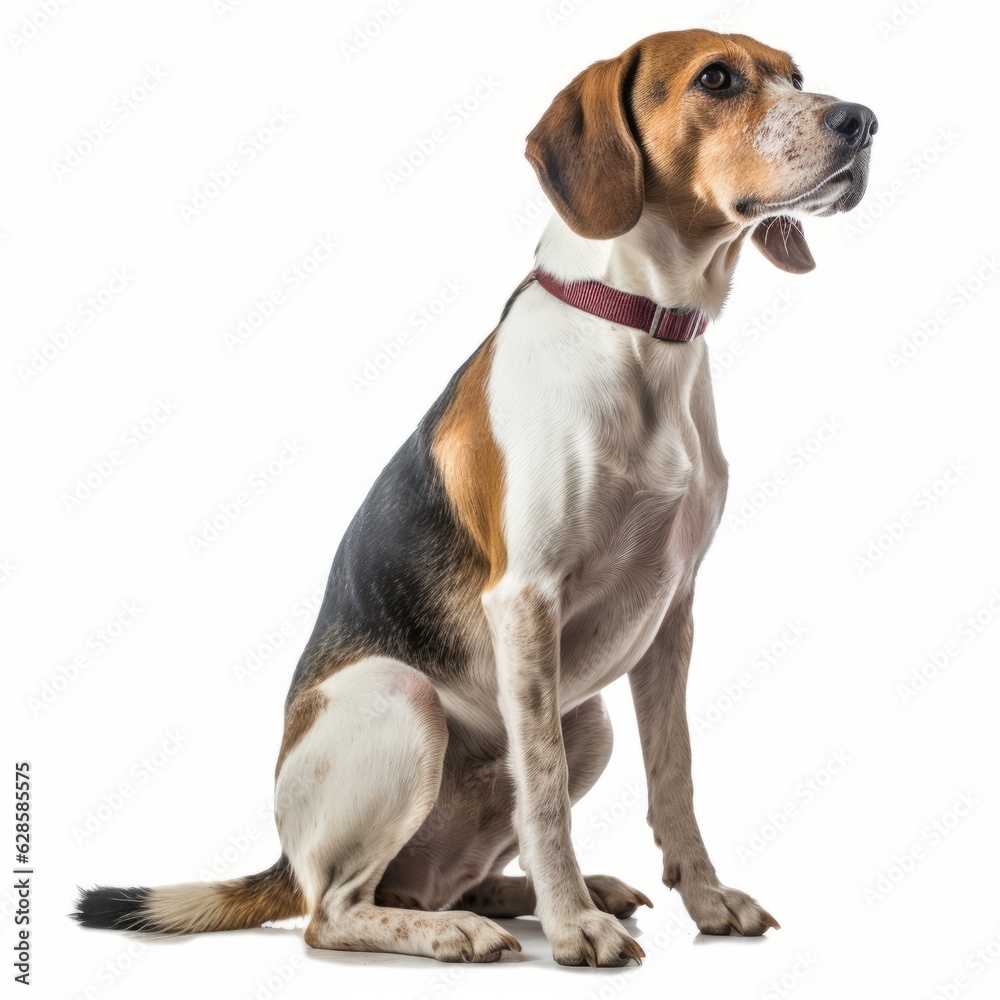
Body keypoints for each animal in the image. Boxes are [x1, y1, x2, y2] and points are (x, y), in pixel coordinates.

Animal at [74, 29, 876, 968]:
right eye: (716, 78)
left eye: (794, 73)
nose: (862, 120)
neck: (640, 325)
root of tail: (286, 856)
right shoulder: (526, 601)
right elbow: (546, 791)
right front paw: (574, 929)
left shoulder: (673, 615)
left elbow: (673, 775)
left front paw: (705, 900)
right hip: (401, 699)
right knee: (333, 912)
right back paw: (462, 927)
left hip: (590, 719)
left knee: (448, 872)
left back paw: (538, 895)